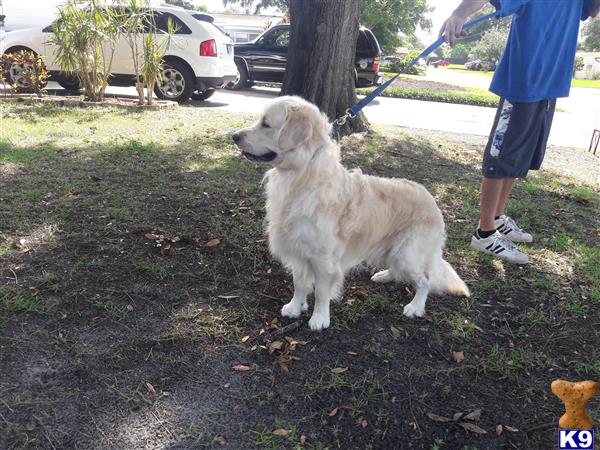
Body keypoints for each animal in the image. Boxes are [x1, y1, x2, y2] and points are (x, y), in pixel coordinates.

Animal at [232, 96, 472, 330]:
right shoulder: (298, 250)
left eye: (266, 124)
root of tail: (431, 199)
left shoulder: (323, 258)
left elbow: (321, 292)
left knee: (424, 281)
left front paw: (319, 318)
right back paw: (383, 275)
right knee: (399, 271)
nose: (234, 136)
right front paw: (294, 307)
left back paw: (415, 307)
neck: (302, 175)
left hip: (408, 253)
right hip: (393, 250)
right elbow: (299, 284)